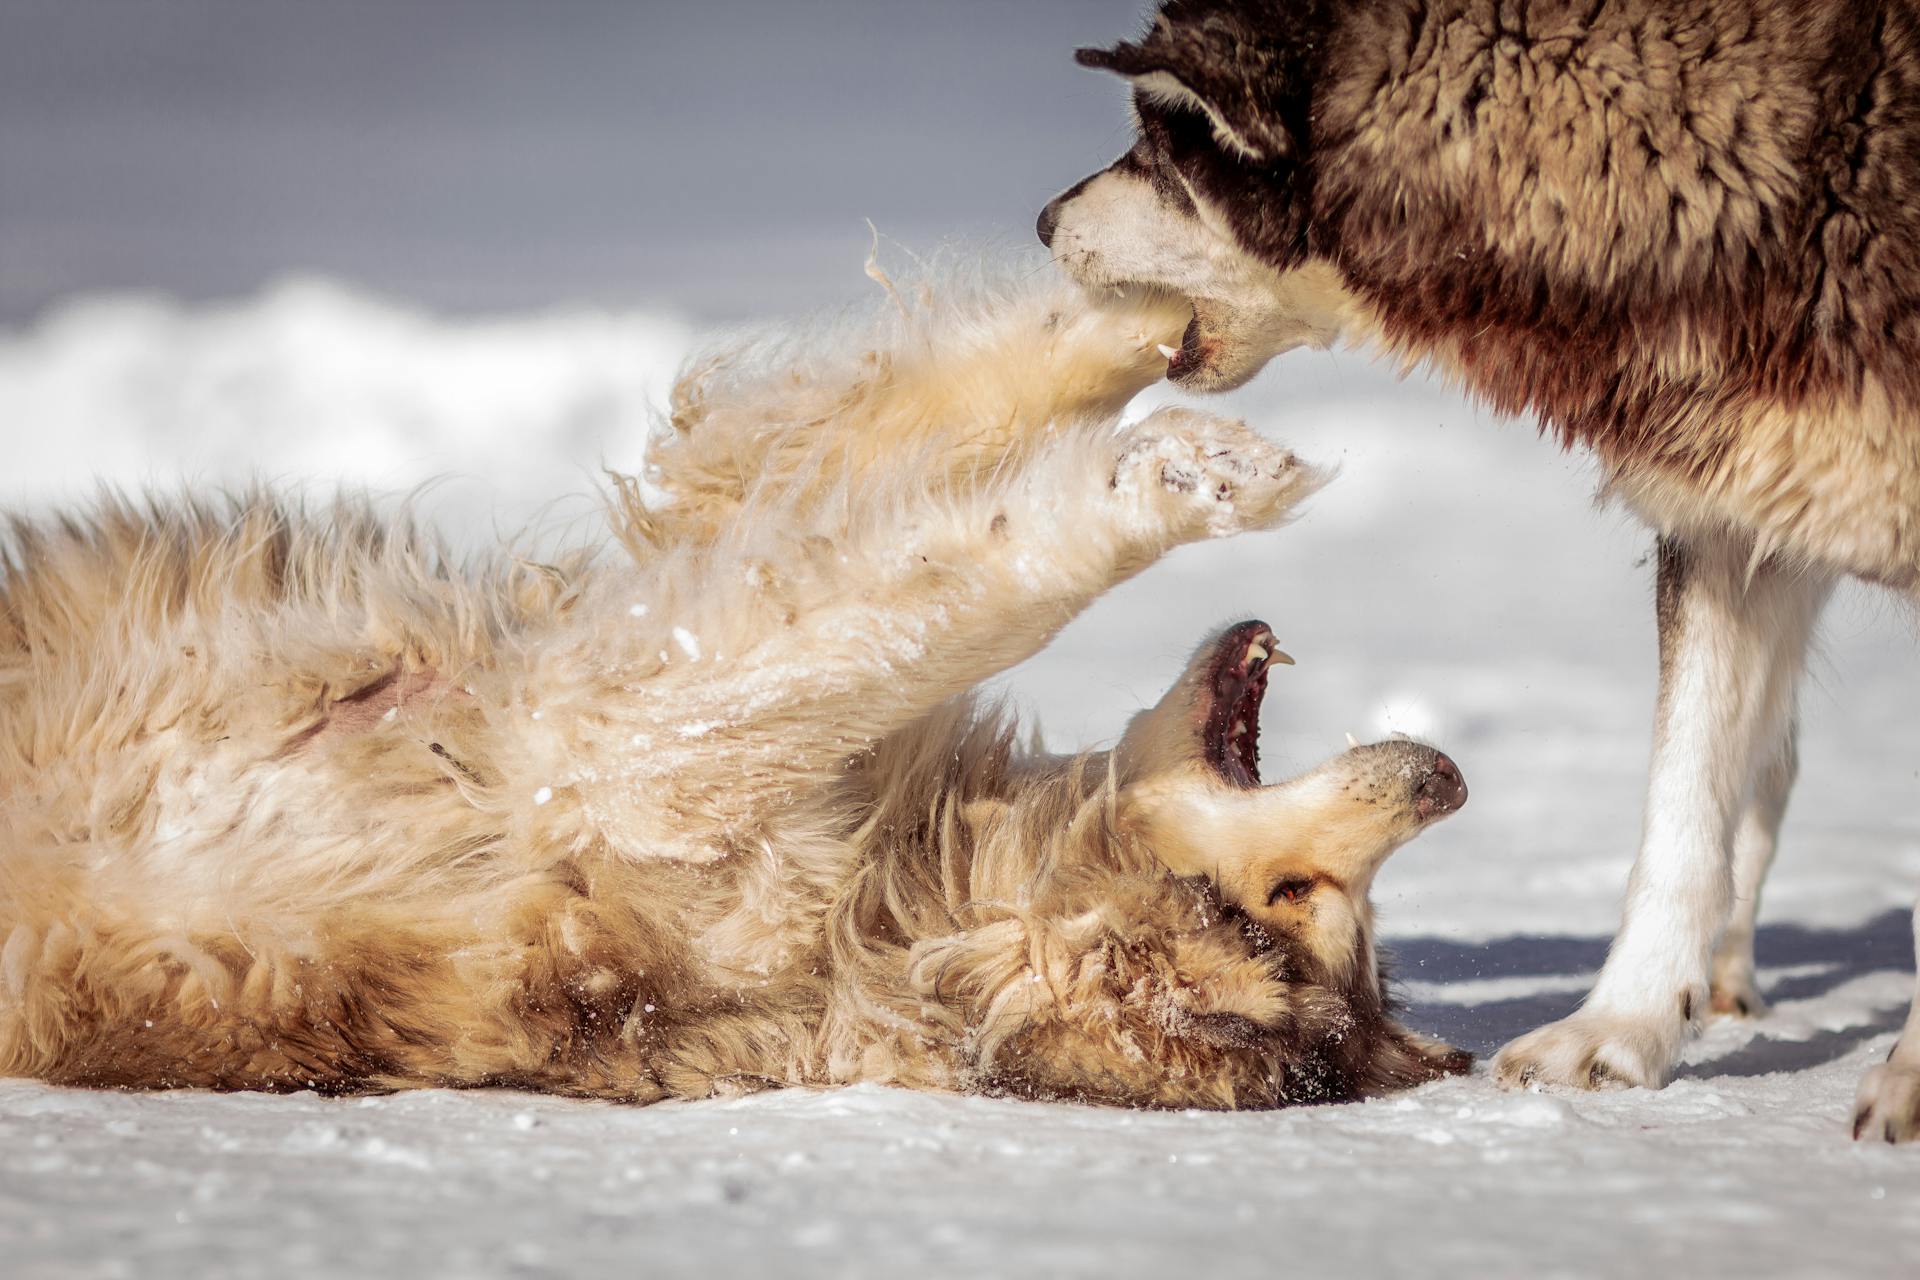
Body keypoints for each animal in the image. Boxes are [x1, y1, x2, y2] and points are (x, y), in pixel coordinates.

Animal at [0, 272, 1466, 1113]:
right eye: (1302, 894)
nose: (1444, 778)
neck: (903, 904)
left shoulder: (624, 750)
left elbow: (944, 584)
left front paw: (1172, 472)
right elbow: (910, 460)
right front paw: (1160, 313)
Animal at [1044, 0, 1920, 1143]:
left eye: (1156, 143)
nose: (1043, 220)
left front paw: (1906, 1080)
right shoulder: (1724, 513)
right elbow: (1681, 806)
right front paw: (1620, 1033)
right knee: (1768, 762)